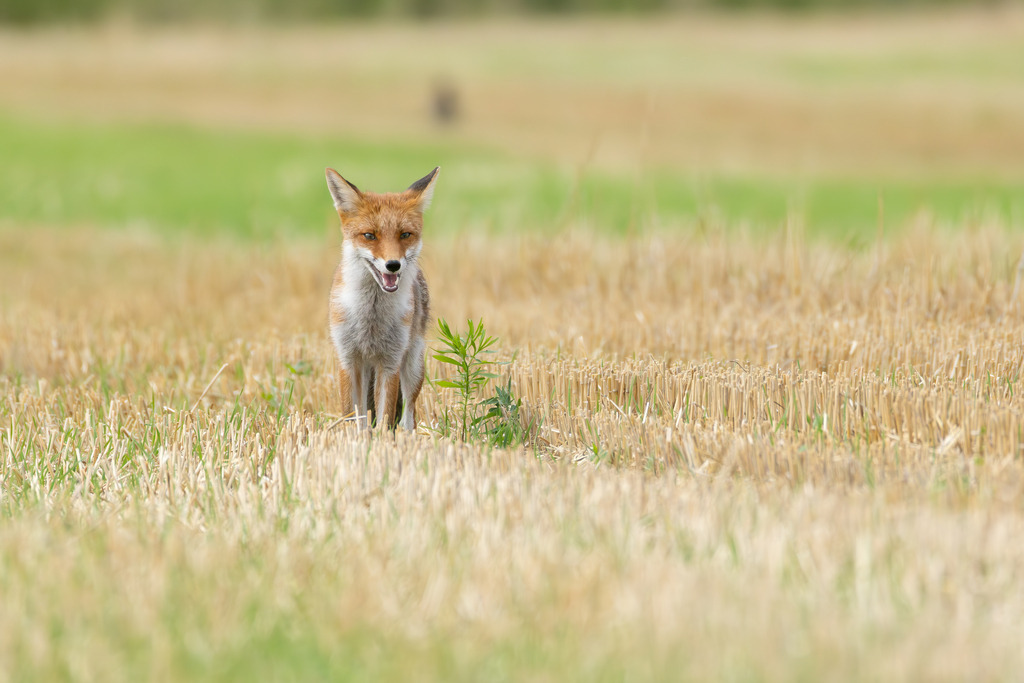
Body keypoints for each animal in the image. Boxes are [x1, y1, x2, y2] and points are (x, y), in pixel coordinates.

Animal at [325, 166, 438, 431]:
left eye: (405, 234)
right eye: (369, 235)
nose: (393, 265)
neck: (371, 317)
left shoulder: (390, 362)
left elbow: (385, 418)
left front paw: (383, 440)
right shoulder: (348, 359)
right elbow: (353, 417)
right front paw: (352, 439)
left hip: (413, 365)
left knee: (408, 414)